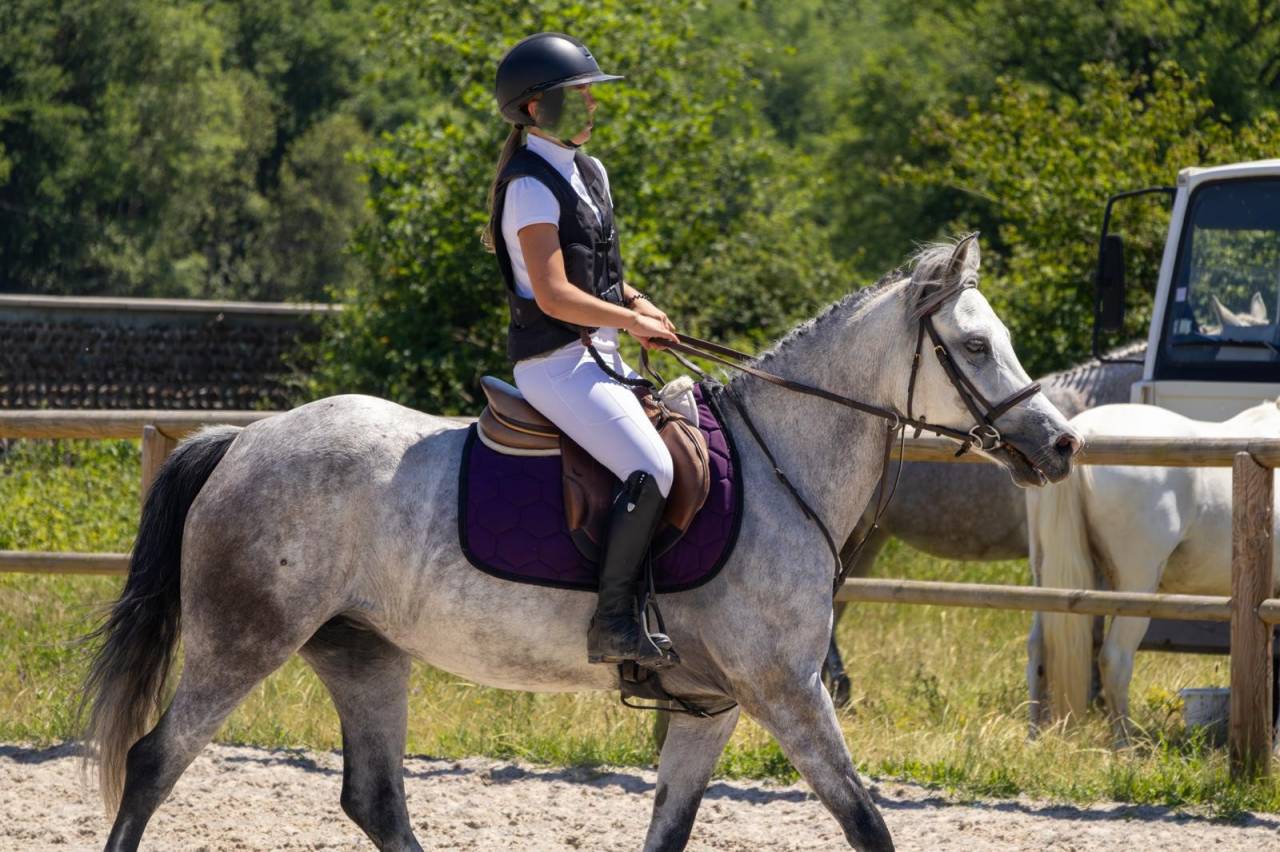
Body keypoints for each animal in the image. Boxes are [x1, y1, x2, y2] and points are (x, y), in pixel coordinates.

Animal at [76, 235, 1079, 852]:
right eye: (976, 347)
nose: (1061, 445)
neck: (779, 461)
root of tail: (245, 439)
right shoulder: (784, 691)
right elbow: (867, 823)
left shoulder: (714, 705)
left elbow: (669, 831)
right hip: (244, 640)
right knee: (155, 762)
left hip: (362, 652)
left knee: (375, 799)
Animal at [1027, 399, 1280, 737]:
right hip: (1137, 584)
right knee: (1115, 659)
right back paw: (1125, 745)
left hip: (1045, 577)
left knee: (1038, 650)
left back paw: (1033, 735)